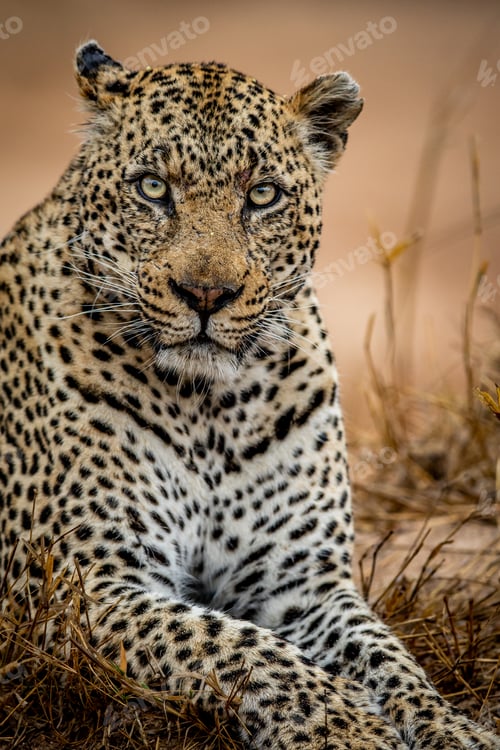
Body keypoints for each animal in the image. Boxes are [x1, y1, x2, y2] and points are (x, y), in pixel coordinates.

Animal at [0, 41, 498, 749]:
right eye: (153, 187)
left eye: (262, 195)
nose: (206, 294)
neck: (209, 405)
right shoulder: (77, 584)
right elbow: (236, 645)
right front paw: (348, 726)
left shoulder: (302, 580)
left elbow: (390, 658)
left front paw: (450, 727)